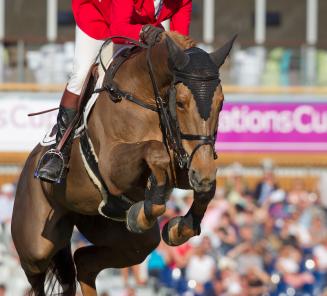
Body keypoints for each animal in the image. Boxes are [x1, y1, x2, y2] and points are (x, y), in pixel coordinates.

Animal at [10, 31, 236, 294]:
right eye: (180, 102)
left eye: (221, 103)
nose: (202, 173)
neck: (145, 95)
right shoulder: (112, 167)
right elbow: (155, 151)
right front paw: (150, 211)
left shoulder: (186, 161)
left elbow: (206, 187)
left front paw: (179, 227)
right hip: (35, 245)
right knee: (38, 272)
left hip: (123, 237)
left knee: (84, 262)